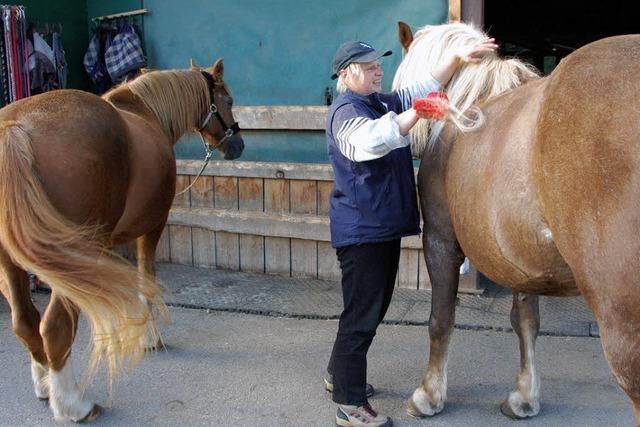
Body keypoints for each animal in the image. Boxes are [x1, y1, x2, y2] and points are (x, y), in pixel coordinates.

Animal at [0, 58, 244, 422]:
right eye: (227, 100)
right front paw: (150, 337)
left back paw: (45, 386)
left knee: (26, 323)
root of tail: (14, 128)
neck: (145, 111)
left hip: (14, 261)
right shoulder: (152, 227)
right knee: (55, 326)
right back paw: (73, 405)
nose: (237, 145)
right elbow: (145, 279)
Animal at [392, 21, 640, 422]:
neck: (469, 105)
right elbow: (525, 322)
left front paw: (428, 395)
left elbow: (440, 318)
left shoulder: (441, 242)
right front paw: (524, 397)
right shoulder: (523, 261)